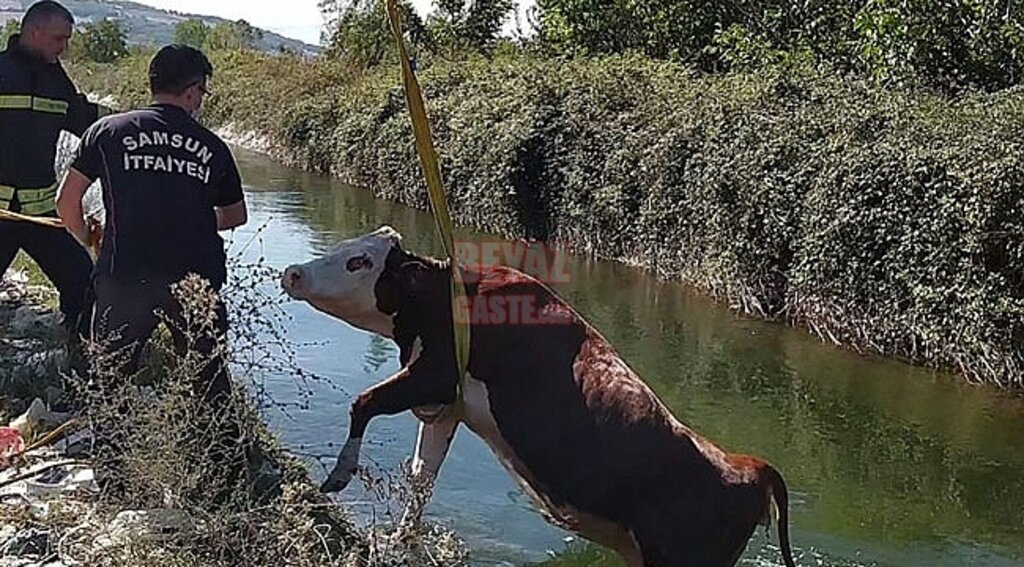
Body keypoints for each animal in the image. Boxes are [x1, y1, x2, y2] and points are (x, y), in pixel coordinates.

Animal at [280, 226, 798, 564]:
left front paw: (340, 474)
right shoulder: (447, 404)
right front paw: (402, 539)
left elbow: (364, 403)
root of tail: (748, 465)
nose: (293, 273)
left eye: (360, 262)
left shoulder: (435, 375)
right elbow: (422, 475)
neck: (448, 298)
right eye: (347, 249)